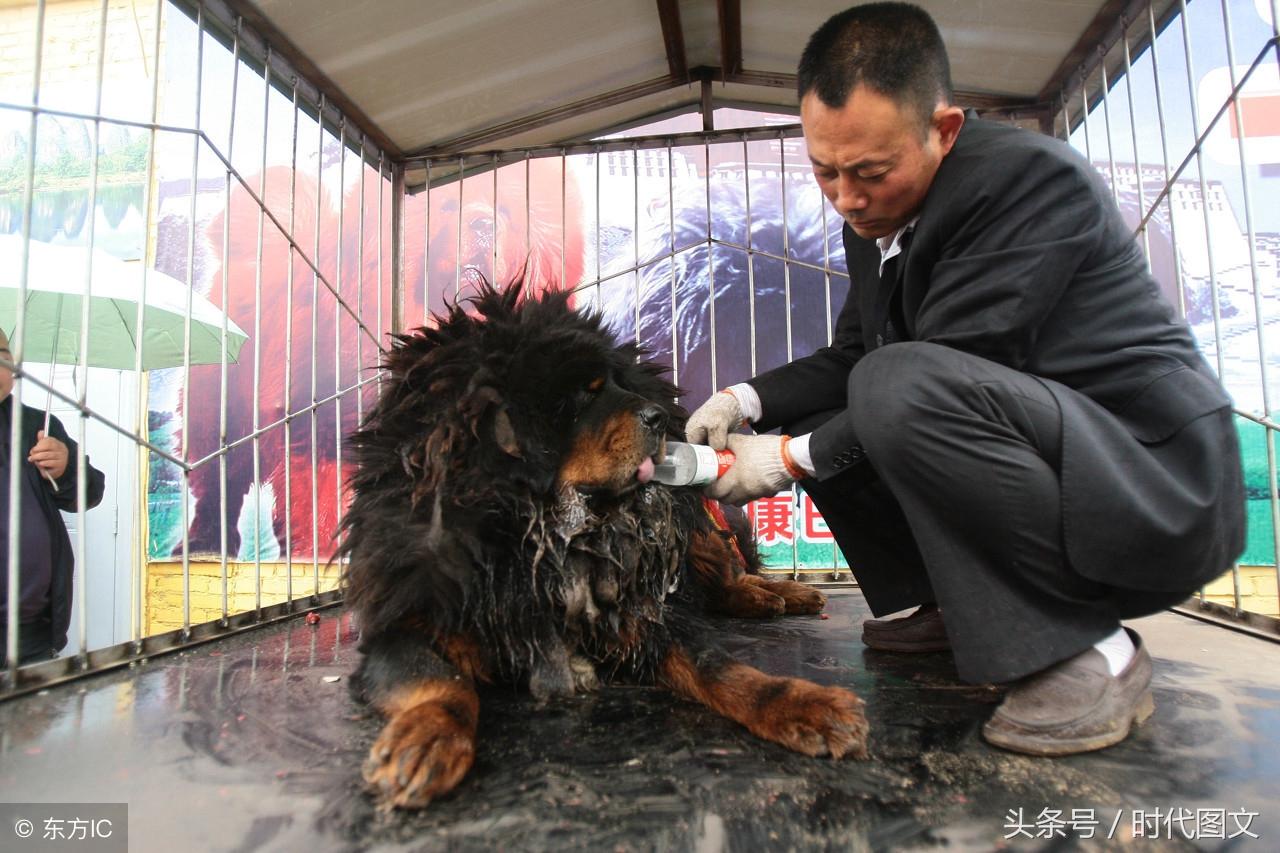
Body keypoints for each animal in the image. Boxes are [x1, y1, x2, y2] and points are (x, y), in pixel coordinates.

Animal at [337, 281, 870, 809]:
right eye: (582, 395)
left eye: (617, 384)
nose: (660, 416)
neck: (535, 538)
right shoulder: (408, 621)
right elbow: (438, 682)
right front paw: (425, 740)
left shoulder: (642, 617)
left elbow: (720, 666)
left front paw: (804, 703)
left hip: (698, 534)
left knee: (729, 576)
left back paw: (779, 594)